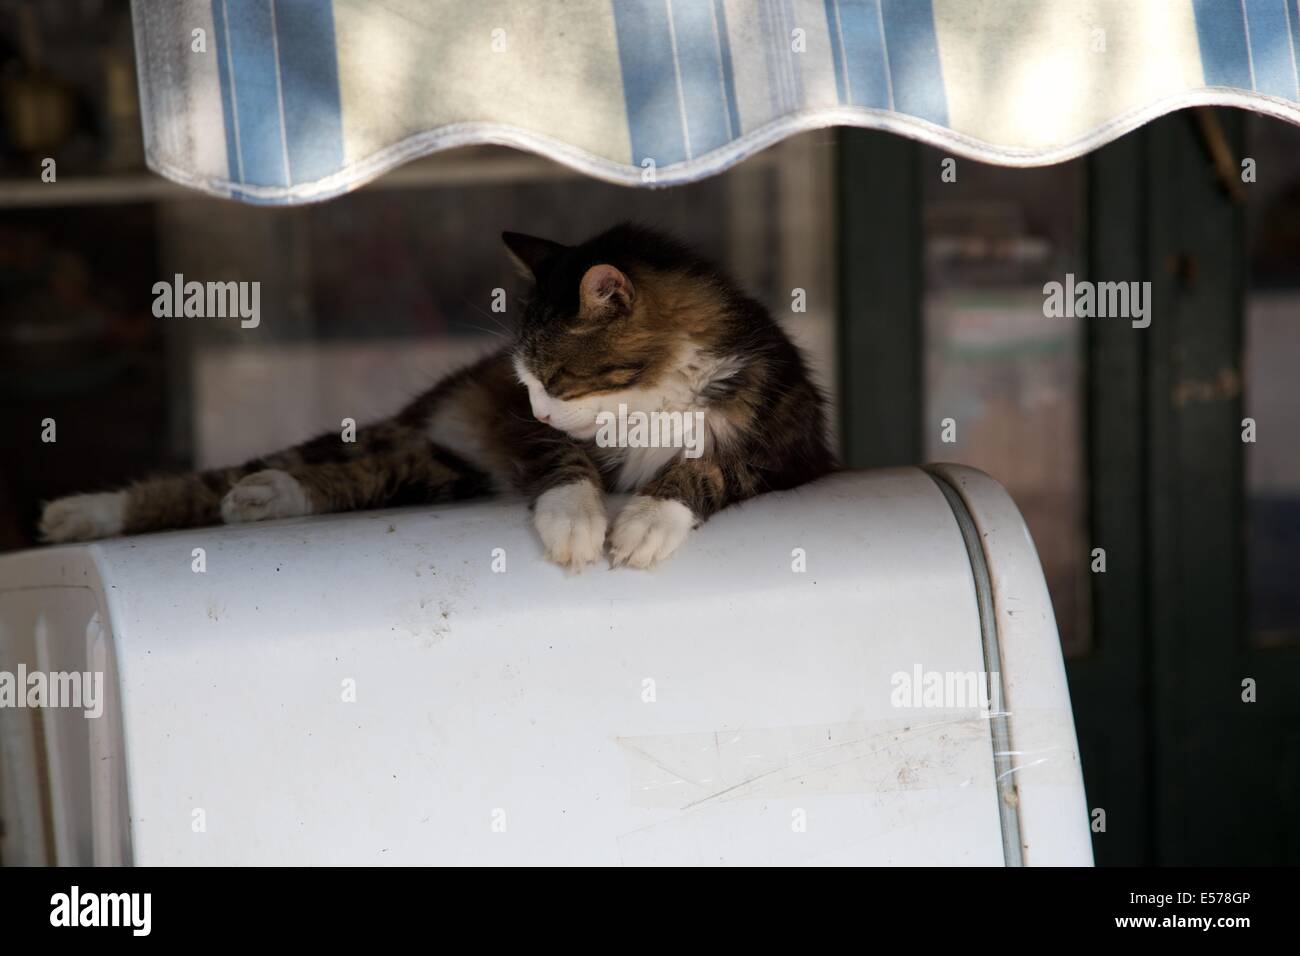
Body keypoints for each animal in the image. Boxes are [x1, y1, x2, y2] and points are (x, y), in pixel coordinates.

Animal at [40, 223, 837, 567]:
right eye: (526, 385)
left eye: (555, 378)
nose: (533, 406)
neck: (648, 399)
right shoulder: (537, 439)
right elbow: (567, 467)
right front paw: (575, 524)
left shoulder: (789, 442)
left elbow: (707, 466)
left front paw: (644, 523)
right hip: (415, 442)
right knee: (248, 475)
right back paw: (86, 513)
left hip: (444, 469)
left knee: (361, 479)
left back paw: (265, 498)